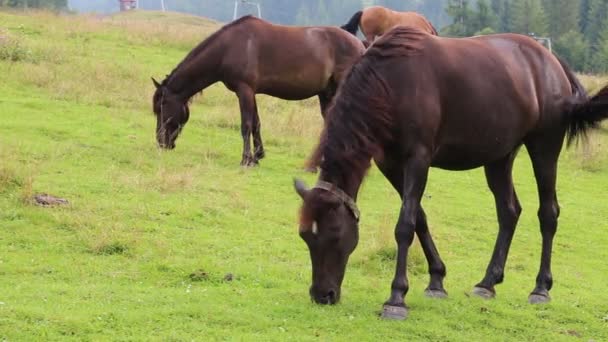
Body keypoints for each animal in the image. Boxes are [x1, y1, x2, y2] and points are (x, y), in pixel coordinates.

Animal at [152, 14, 366, 166]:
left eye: (162, 106)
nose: (161, 142)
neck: (229, 47)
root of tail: (361, 46)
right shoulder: (251, 92)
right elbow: (256, 124)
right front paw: (257, 156)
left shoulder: (244, 90)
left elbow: (246, 124)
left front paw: (246, 159)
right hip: (327, 94)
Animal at [292, 27, 608, 320]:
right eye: (305, 236)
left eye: (334, 233)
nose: (322, 295)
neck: (392, 83)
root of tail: (552, 61)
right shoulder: (391, 164)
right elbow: (419, 217)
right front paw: (436, 280)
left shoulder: (417, 160)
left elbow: (405, 225)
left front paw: (396, 298)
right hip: (499, 157)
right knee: (509, 211)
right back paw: (487, 282)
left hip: (544, 148)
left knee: (548, 212)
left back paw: (541, 288)